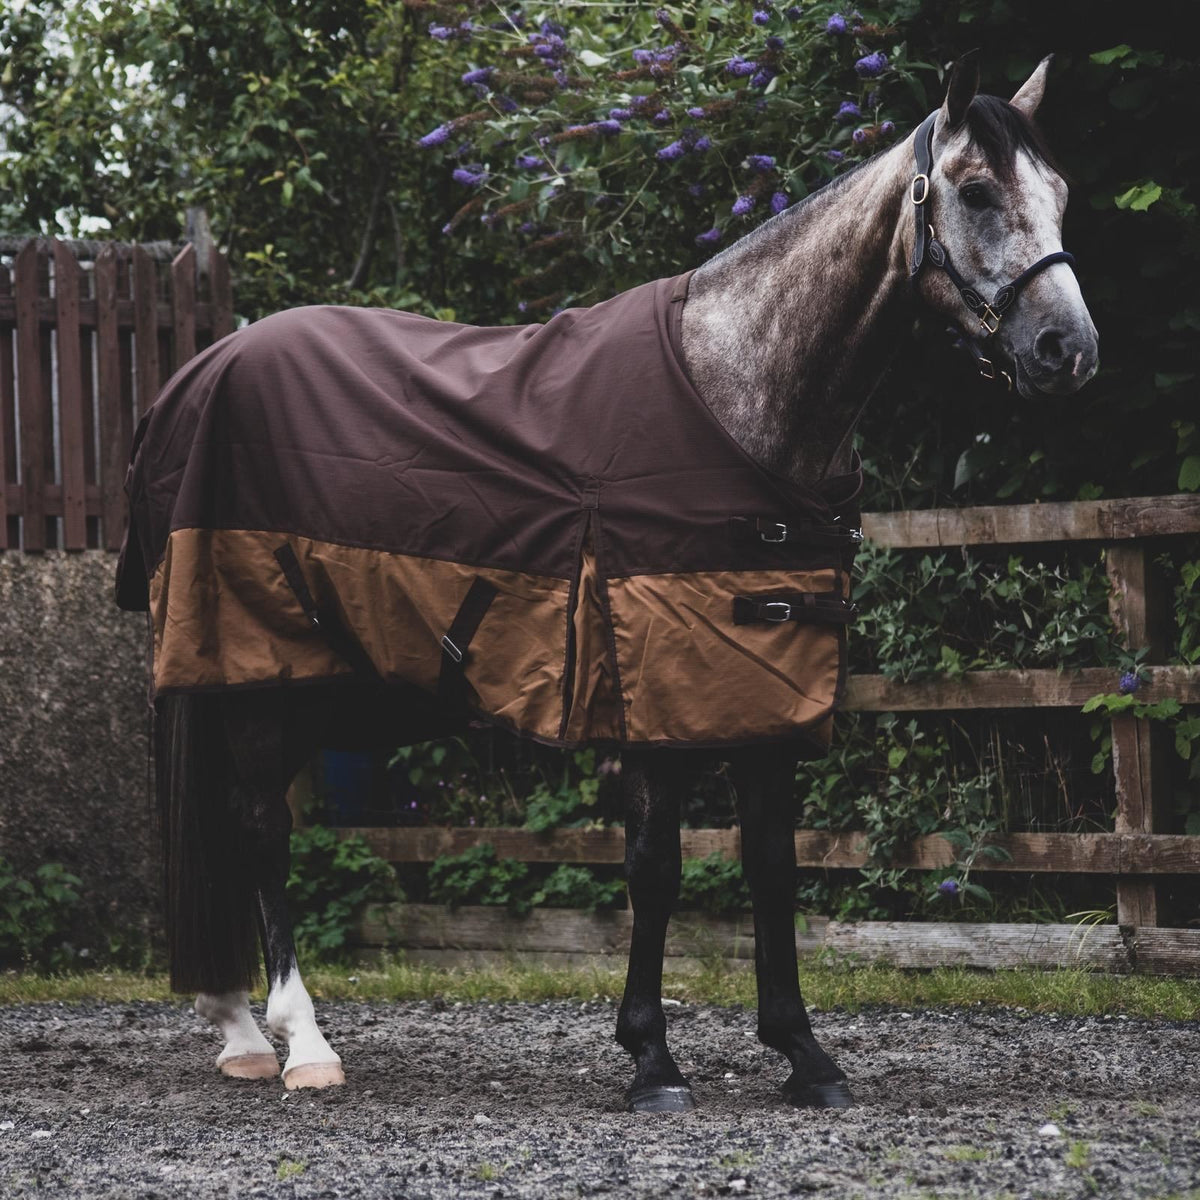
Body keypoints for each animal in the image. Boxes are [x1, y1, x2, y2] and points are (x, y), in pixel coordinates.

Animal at [117, 57, 1097, 1112]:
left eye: (1061, 191)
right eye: (976, 191)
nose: (1068, 351)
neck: (736, 395)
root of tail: (192, 378)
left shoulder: (766, 690)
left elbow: (772, 866)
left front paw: (803, 1054)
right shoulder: (656, 694)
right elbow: (655, 868)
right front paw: (652, 1059)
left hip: (296, 678)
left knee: (224, 832)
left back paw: (237, 1028)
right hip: (259, 670)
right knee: (261, 831)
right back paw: (301, 1044)